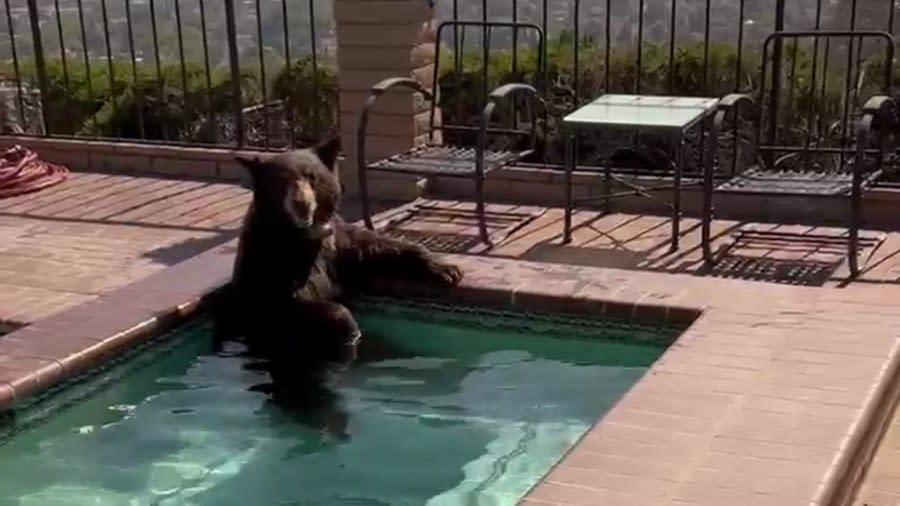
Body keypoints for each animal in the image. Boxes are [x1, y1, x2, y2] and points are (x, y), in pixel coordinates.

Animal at [212, 133, 464, 404]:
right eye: (281, 180)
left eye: (312, 176)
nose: (301, 204)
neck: (304, 237)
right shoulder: (269, 262)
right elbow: (283, 304)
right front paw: (347, 325)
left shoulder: (336, 246)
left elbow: (376, 249)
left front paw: (447, 269)